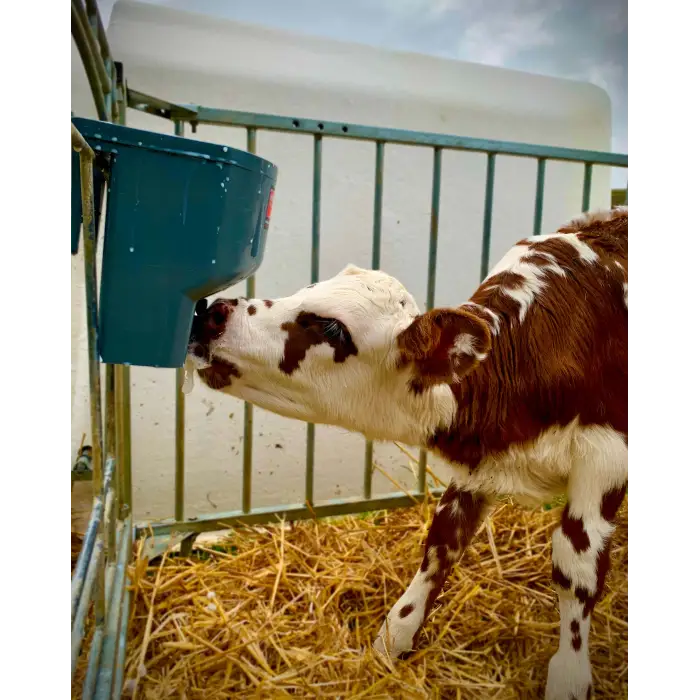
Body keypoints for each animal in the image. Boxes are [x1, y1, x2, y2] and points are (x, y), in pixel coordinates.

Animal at [187, 205, 629, 700]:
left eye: (332, 327)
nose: (213, 312)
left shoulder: (605, 457)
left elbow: (577, 569)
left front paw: (570, 674)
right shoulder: (476, 469)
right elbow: (441, 543)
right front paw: (392, 638)